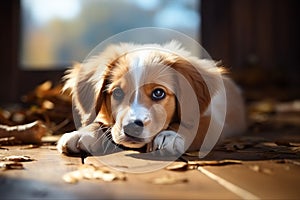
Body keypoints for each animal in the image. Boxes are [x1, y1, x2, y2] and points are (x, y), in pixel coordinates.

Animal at [56, 40, 246, 155]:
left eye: (158, 93)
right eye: (117, 92)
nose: (132, 128)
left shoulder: (215, 121)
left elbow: (196, 126)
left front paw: (170, 136)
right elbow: (99, 122)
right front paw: (82, 134)